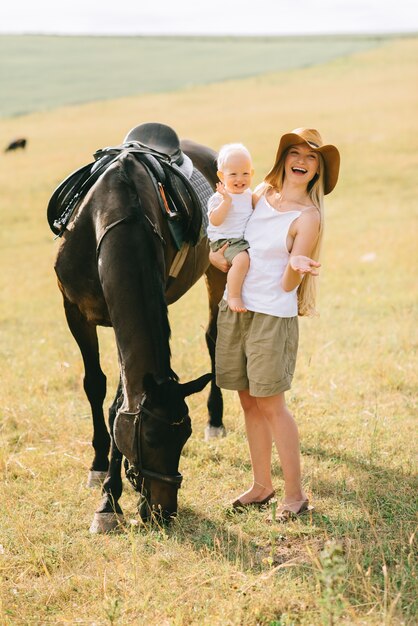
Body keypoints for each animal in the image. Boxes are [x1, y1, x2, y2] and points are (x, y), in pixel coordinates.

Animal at [47, 123, 227, 532]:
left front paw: (109, 501)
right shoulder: (75, 312)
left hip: (219, 268)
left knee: (214, 338)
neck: (112, 216)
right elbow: (95, 387)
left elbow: (117, 405)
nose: (165, 511)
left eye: (184, 436)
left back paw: (216, 420)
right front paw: (101, 473)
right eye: (153, 439)